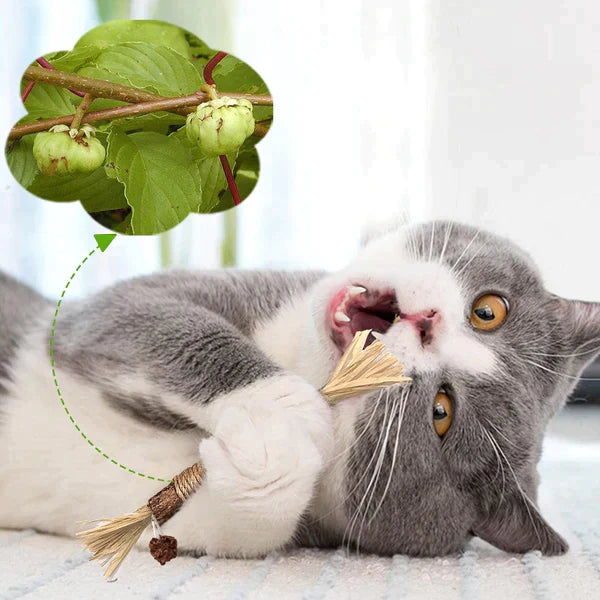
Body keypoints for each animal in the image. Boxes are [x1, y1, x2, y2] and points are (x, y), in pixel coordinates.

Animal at [1, 221, 600, 556]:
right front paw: (282, 404)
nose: (427, 325)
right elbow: (167, 324)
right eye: (489, 310)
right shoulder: (113, 310)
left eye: (441, 412)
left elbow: (237, 522)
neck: (296, 358)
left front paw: (271, 444)